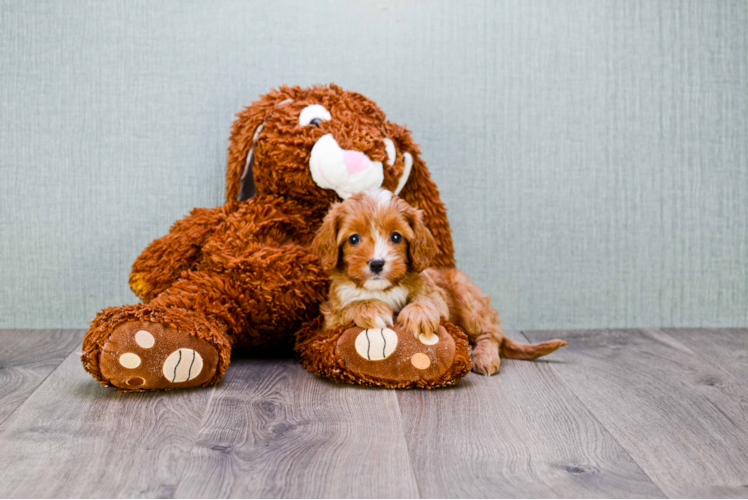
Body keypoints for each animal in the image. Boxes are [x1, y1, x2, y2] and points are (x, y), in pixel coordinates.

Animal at [312, 188, 568, 376]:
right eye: (354, 239)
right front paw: (371, 308)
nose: (376, 264)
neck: (382, 289)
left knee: (490, 333)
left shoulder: (438, 295)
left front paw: (418, 314)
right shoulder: (330, 318)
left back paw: (485, 357)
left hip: (466, 297)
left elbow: (427, 300)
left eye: (396, 236)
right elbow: (349, 308)